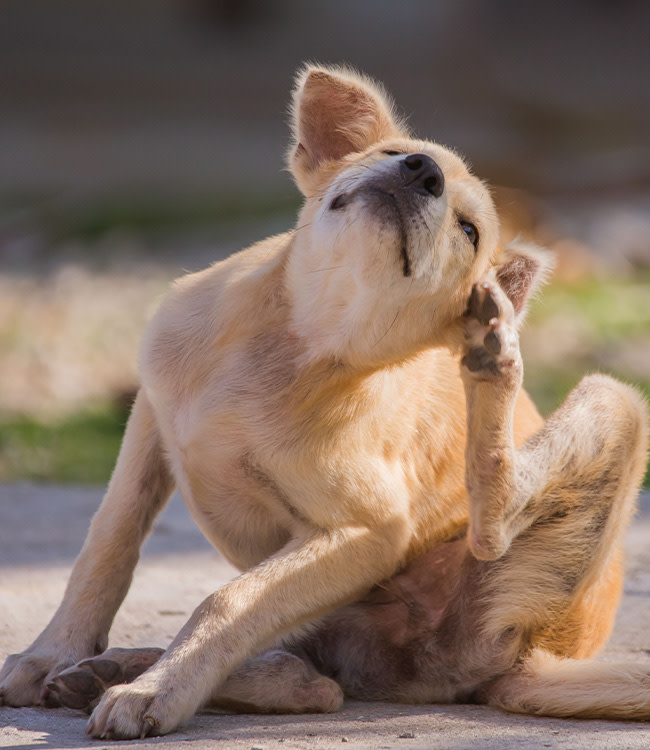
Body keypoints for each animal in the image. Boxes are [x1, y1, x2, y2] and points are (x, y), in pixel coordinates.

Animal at [1, 66, 648, 740]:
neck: (299, 340)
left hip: (612, 406)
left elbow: (226, 601)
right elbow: (107, 544)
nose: (422, 171)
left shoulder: (367, 532)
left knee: (474, 538)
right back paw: (108, 670)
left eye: (469, 232)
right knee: (310, 680)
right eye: (393, 154)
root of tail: (535, 656)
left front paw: (158, 691)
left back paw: (494, 358)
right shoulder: (149, 421)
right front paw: (53, 652)